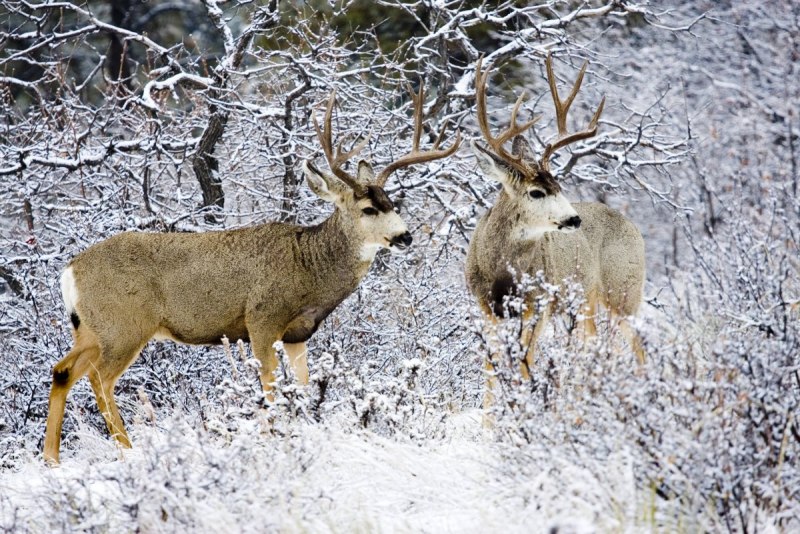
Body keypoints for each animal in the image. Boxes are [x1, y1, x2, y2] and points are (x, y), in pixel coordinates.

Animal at [44, 87, 461, 464]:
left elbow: (302, 388)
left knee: (62, 370)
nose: (405, 236)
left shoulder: (297, 334)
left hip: (91, 328)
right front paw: (273, 439)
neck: (308, 268)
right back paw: (128, 450)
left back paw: (51, 458)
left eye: (392, 203)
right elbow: (271, 391)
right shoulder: (261, 320)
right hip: (125, 325)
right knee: (100, 378)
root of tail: (69, 270)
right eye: (369, 209)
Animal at [465, 53, 645, 405]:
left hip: (624, 291)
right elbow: (490, 372)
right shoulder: (484, 307)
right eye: (537, 192)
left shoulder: (538, 305)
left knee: (636, 346)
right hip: (587, 301)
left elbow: (525, 365)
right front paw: (489, 417)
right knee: (593, 345)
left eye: (559, 186)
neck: (502, 275)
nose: (575, 220)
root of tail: (633, 226)